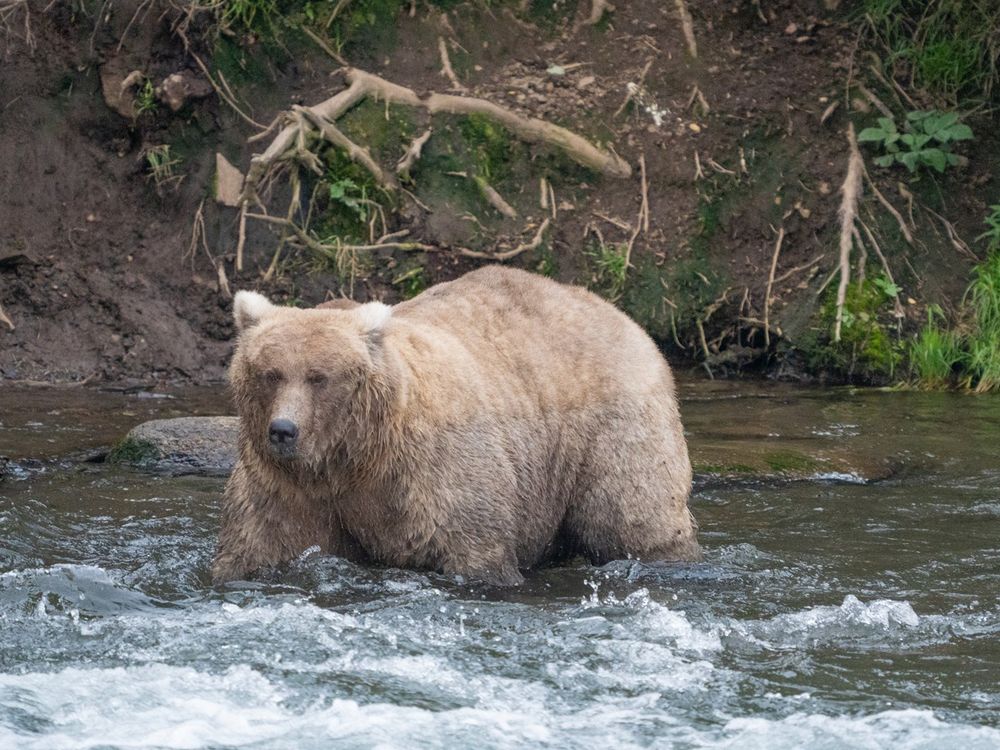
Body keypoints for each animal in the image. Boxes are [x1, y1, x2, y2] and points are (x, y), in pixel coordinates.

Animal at [213, 266, 696, 588]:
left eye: (319, 377)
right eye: (270, 373)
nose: (283, 430)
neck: (353, 457)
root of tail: (618, 313)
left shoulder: (433, 471)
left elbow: (472, 546)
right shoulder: (287, 486)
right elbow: (261, 543)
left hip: (610, 428)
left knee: (632, 515)